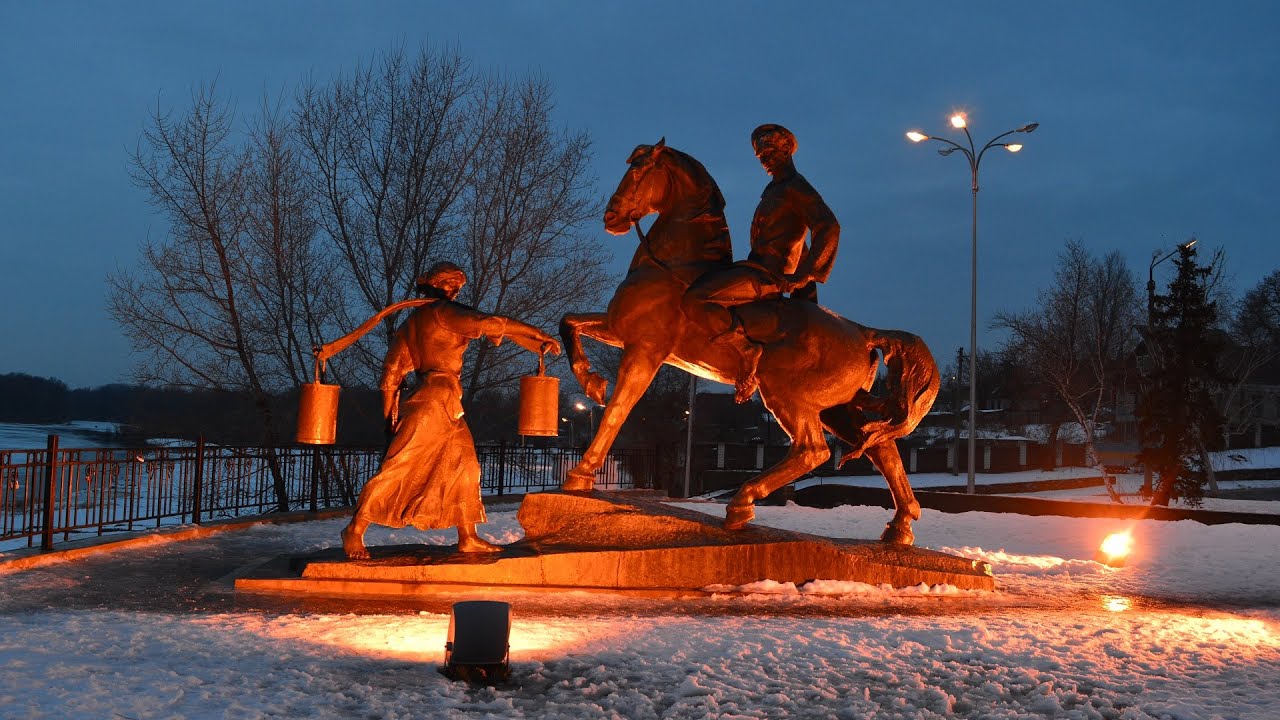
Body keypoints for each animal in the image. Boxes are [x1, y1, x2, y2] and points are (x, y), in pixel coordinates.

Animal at [560, 139, 942, 543]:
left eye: (637, 168)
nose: (611, 216)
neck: (672, 268)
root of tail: (862, 331)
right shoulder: (620, 331)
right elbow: (569, 323)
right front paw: (592, 383)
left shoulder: (645, 350)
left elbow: (618, 409)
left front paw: (580, 473)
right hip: (836, 407)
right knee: (882, 447)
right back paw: (900, 527)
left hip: (788, 397)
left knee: (813, 450)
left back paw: (742, 502)